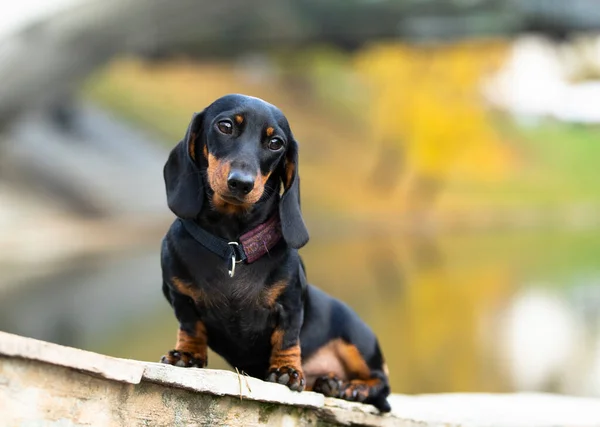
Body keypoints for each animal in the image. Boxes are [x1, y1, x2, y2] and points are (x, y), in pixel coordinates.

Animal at [159, 94, 392, 414]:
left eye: (275, 143)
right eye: (225, 126)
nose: (241, 183)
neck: (233, 246)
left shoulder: (290, 303)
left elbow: (287, 338)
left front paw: (286, 371)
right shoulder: (179, 296)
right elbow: (190, 327)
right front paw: (187, 355)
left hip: (356, 338)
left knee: (382, 383)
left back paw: (353, 387)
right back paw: (330, 382)